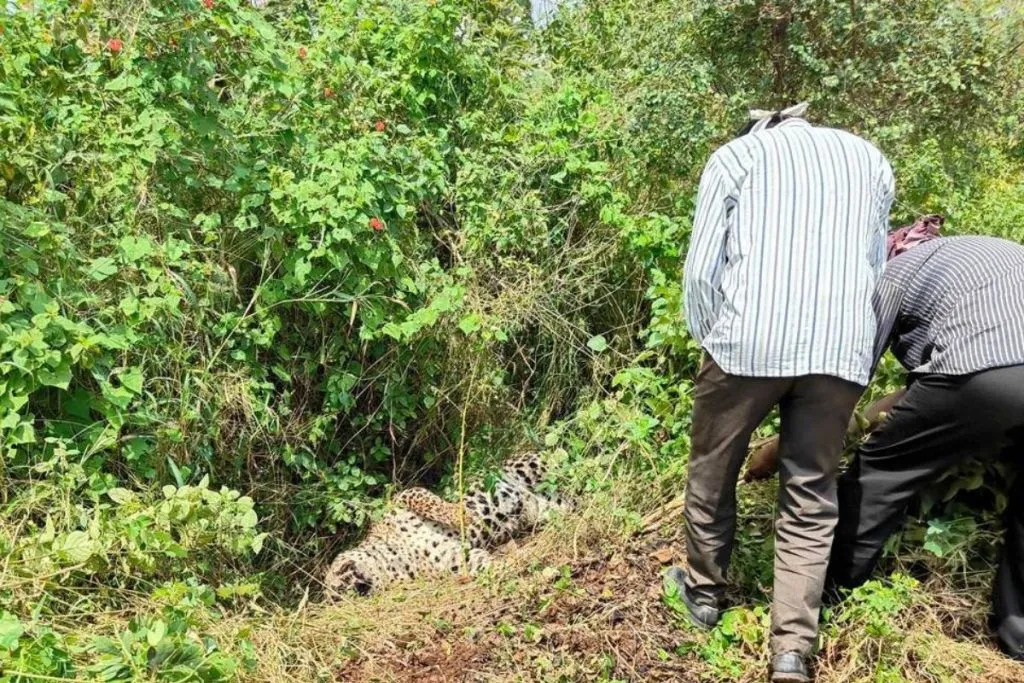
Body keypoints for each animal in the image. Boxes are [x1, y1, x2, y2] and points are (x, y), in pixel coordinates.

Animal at [323, 452, 570, 597]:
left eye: (340, 583)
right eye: (339, 597)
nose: (357, 590)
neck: (391, 559)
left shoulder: (402, 499)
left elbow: (428, 500)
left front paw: (463, 514)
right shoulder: (455, 559)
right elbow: (491, 565)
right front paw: (535, 569)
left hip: (533, 467)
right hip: (550, 506)